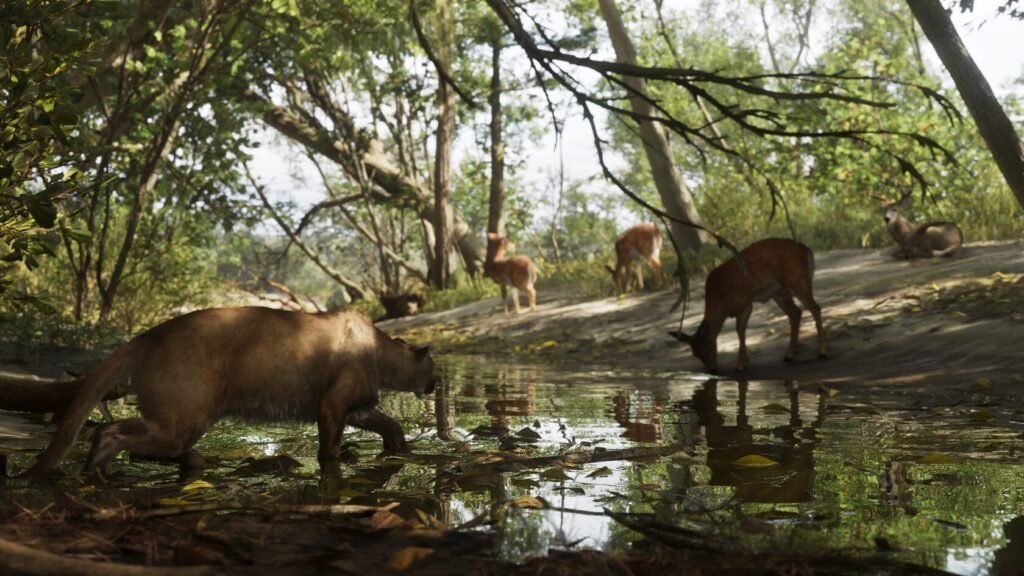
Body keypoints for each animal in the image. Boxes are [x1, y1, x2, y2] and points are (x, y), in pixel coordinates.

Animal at [668, 238, 828, 374]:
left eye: (707, 349)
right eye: (696, 354)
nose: (713, 370)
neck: (721, 304)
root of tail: (806, 250)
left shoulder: (745, 302)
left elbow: (739, 331)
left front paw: (739, 366)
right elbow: (741, 332)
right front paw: (744, 363)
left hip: (798, 279)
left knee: (815, 308)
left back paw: (822, 352)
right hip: (779, 292)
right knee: (795, 313)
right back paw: (789, 355)